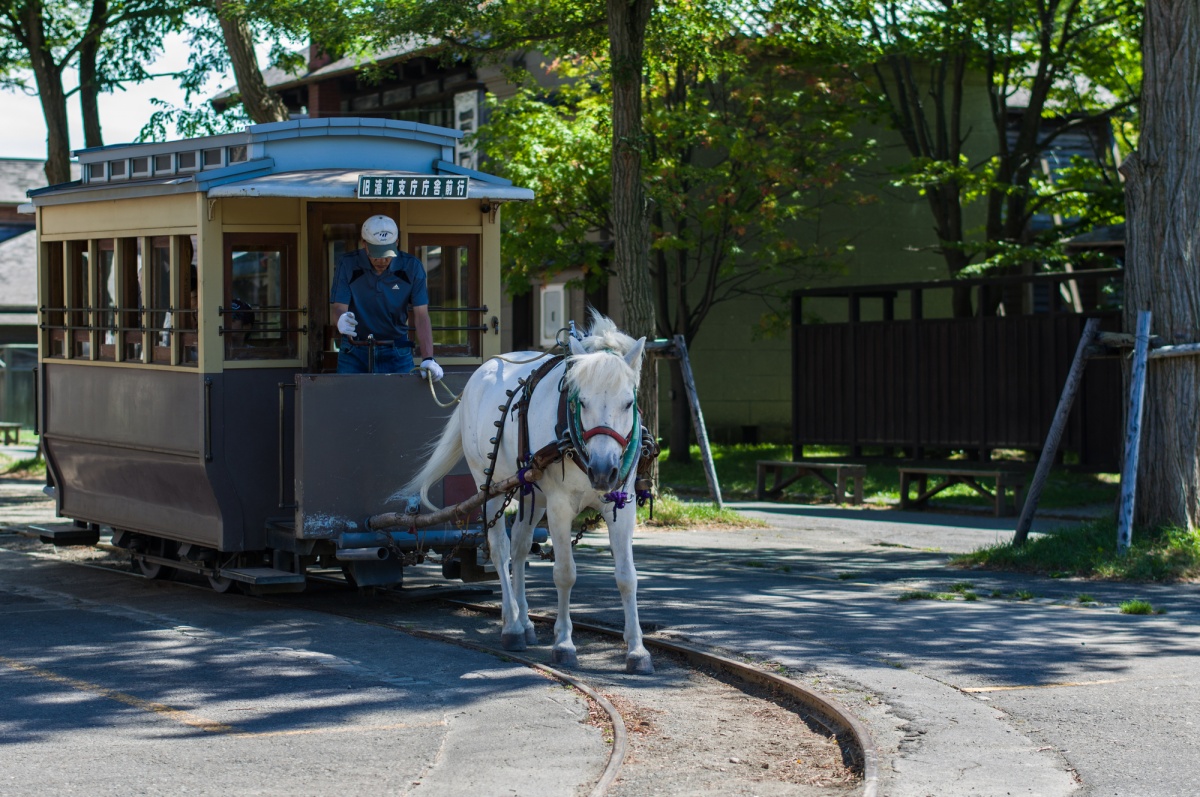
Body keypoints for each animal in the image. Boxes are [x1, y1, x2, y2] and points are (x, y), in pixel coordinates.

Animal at [398, 314, 652, 676]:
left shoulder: (622, 506)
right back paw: (513, 626)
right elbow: (565, 573)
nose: (603, 471)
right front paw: (563, 644)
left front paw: (637, 650)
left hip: (532, 493)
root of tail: (486, 367)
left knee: (519, 546)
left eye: (628, 403)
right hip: (489, 485)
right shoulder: (559, 506)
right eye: (582, 402)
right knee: (500, 548)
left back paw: (524, 620)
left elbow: (627, 577)